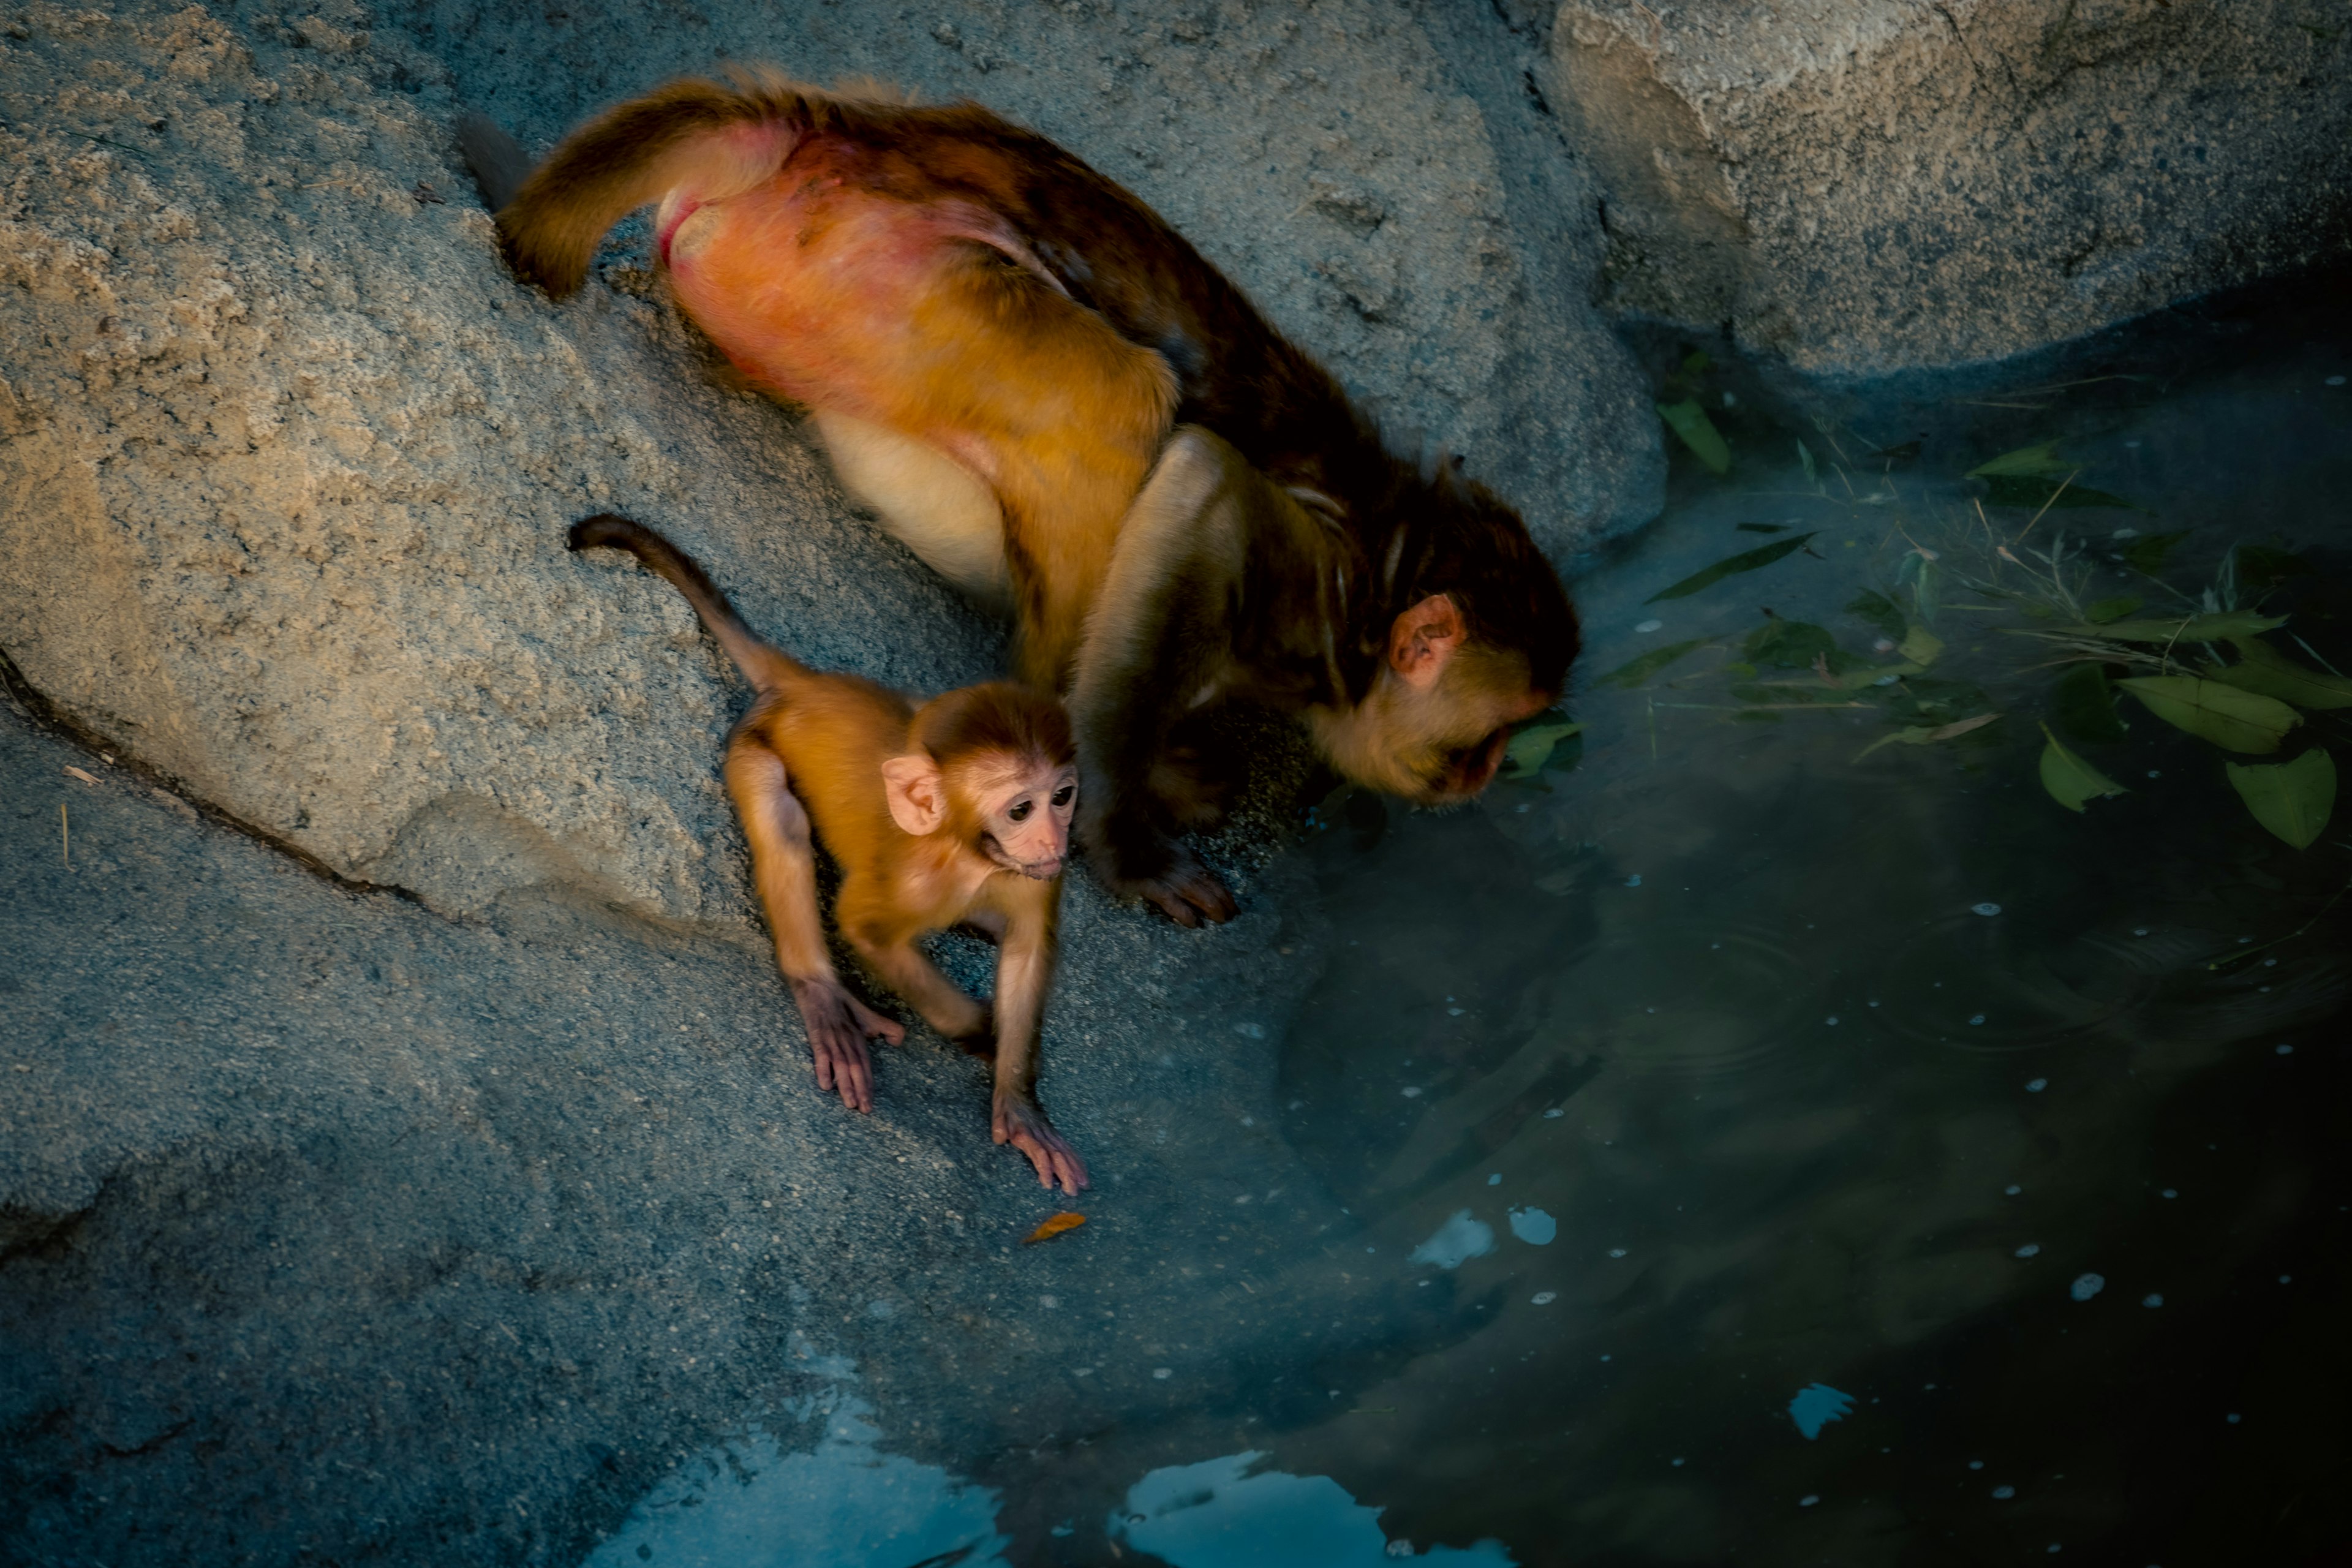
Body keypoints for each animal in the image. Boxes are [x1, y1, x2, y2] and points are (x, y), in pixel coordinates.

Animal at [468, 73, 1580, 926]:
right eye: (1485, 740)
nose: (1484, 777)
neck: (1387, 569)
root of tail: (827, 129)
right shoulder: (1306, 595)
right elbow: (1203, 489)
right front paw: (1130, 842)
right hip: (879, 275)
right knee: (1118, 404)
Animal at [569, 514, 1082, 1189]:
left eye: (1063, 797)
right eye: (1021, 809)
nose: (1054, 839)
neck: (967, 852)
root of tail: (806, 685)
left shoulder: (1030, 876)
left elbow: (1027, 946)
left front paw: (1019, 1104)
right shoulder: (905, 880)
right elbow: (864, 930)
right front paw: (980, 1032)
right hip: (751, 742)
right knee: (783, 821)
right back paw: (825, 996)